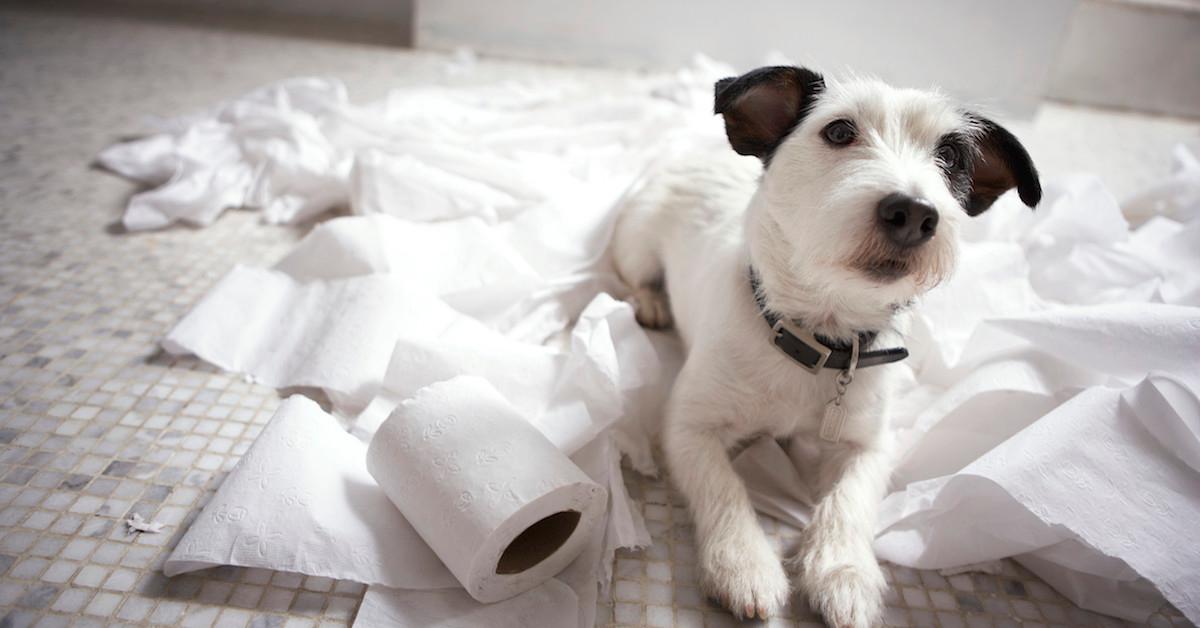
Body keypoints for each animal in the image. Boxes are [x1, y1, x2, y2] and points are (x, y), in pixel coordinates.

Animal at [614, 66, 1036, 624]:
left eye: (951, 157)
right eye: (838, 131)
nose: (914, 212)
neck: (817, 336)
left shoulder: (869, 444)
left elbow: (849, 499)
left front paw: (844, 572)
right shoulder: (688, 428)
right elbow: (723, 485)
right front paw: (744, 563)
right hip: (637, 241)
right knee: (632, 275)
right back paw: (651, 301)